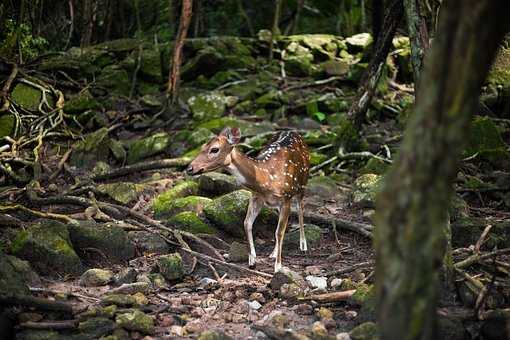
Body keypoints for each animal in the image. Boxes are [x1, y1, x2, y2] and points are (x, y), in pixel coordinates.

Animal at [185, 126, 308, 272]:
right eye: (202, 146)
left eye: (214, 149)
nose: (189, 168)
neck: (265, 179)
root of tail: (293, 131)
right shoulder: (256, 197)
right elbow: (246, 223)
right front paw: (252, 260)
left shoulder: (286, 197)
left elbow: (279, 232)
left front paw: (278, 267)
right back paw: (273, 253)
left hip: (302, 183)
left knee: (300, 208)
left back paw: (303, 245)